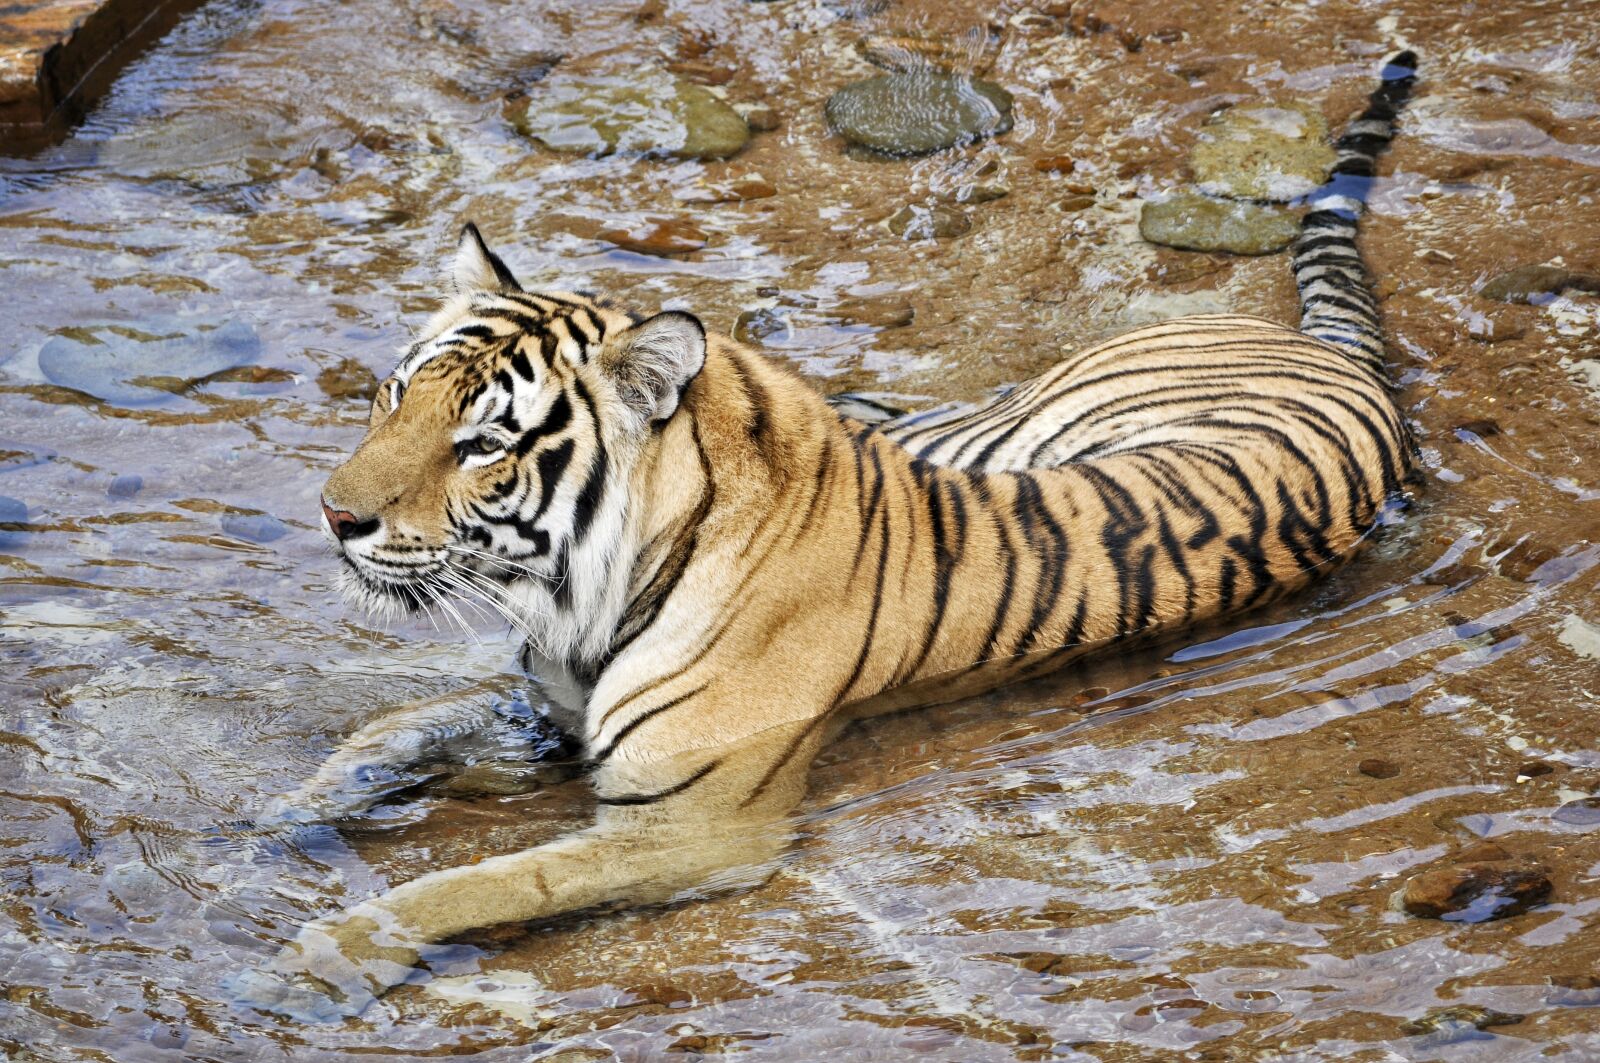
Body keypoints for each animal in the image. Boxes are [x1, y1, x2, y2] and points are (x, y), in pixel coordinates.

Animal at [233, 52, 1420, 1021]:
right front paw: (272, 817)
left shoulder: (693, 824)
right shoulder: (542, 711)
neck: (589, 585)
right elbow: (390, 736)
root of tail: (1339, 360)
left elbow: (477, 880)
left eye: (482, 444)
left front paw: (322, 953)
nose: (334, 514)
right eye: (394, 395)